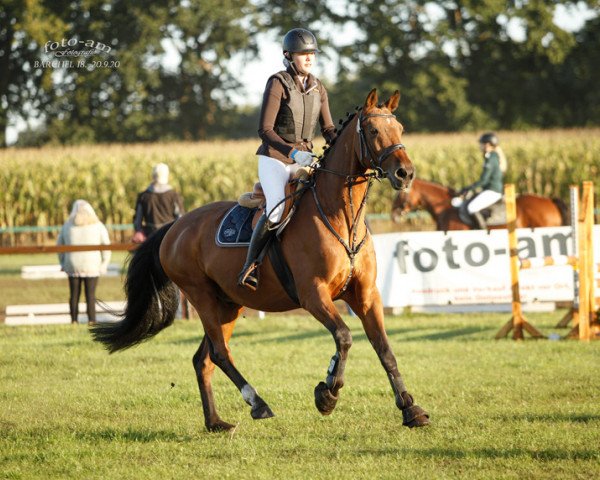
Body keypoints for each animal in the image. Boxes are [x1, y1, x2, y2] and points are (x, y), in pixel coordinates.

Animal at [91, 89, 432, 432]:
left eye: (400, 129)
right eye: (373, 131)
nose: (405, 174)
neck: (341, 218)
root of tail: (175, 227)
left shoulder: (365, 295)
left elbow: (384, 348)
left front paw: (410, 408)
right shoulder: (313, 295)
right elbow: (344, 337)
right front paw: (327, 395)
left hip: (228, 303)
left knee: (204, 359)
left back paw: (216, 422)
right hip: (202, 297)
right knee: (220, 354)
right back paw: (258, 404)